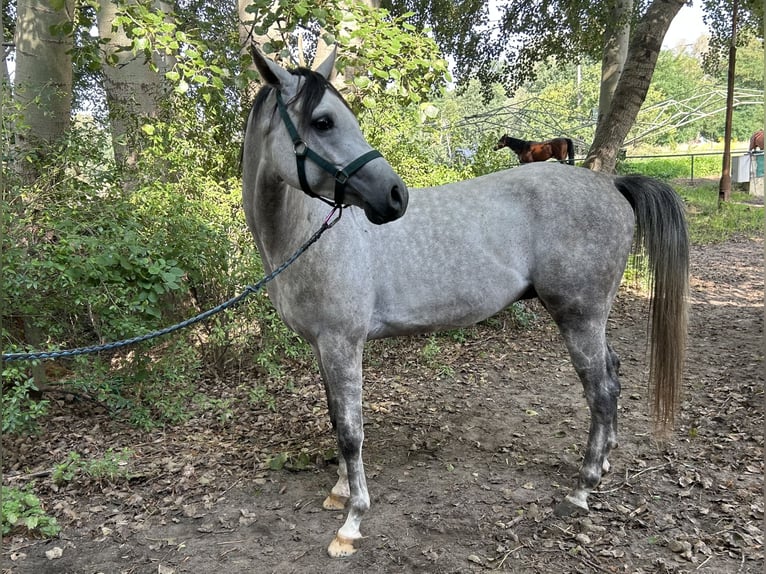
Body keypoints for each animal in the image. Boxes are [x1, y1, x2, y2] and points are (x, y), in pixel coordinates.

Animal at [242, 47, 688, 560]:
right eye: (322, 121)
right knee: (612, 376)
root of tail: (612, 184)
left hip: (578, 316)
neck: (310, 234)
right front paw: (338, 492)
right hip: (592, 317)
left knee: (601, 390)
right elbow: (337, 418)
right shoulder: (324, 346)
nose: (395, 196)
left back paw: (583, 487)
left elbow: (352, 431)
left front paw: (352, 522)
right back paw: (607, 460)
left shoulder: (342, 343)